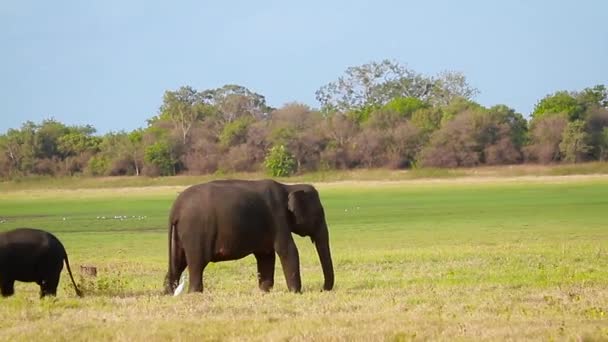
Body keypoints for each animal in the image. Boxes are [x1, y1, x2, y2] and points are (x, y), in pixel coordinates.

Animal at [164, 179, 334, 294]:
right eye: (319, 215)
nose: (323, 289)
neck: (288, 186)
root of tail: (175, 210)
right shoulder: (277, 218)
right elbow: (288, 251)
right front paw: (295, 292)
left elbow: (266, 256)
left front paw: (265, 291)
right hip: (195, 233)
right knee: (196, 263)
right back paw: (195, 293)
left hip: (179, 236)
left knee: (178, 264)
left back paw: (168, 293)